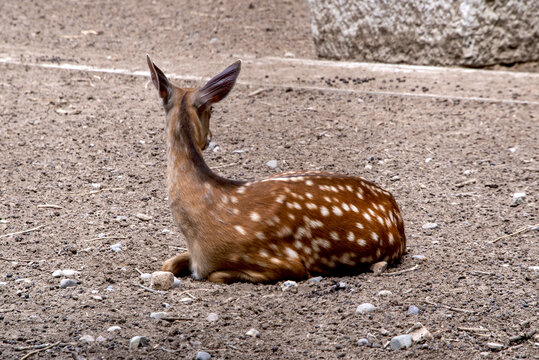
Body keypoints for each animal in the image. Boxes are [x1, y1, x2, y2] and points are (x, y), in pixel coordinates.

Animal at [146, 54, 408, 282]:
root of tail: (395, 210)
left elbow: (216, 275)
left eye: (212, 109)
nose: (209, 139)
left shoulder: (284, 262)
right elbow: (167, 264)